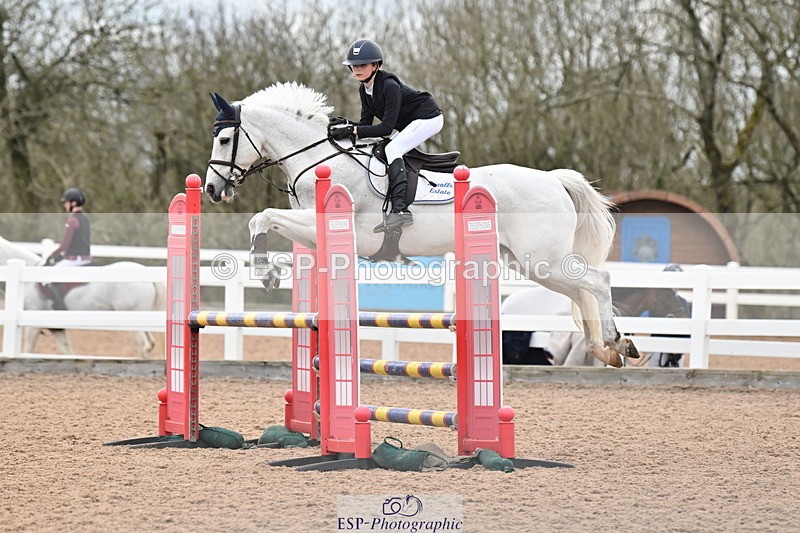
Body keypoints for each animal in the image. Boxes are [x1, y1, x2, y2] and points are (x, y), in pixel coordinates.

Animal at [0, 236, 164, 357]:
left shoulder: (32, 326)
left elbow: (28, 351)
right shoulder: (56, 328)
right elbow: (68, 353)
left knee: (144, 347)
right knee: (150, 345)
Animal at [202, 82, 640, 367]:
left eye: (224, 140)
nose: (211, 189)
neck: (319, 161)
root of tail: (553, 179)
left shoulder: (326, 224)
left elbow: (262, 217)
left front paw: (265, 271)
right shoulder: (310, 229)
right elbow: (271, 226)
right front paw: (272, 270)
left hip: (541, 259)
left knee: (597, 281)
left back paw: (615, 341)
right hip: (530, 263)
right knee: (581, 291)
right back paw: (606, 349)